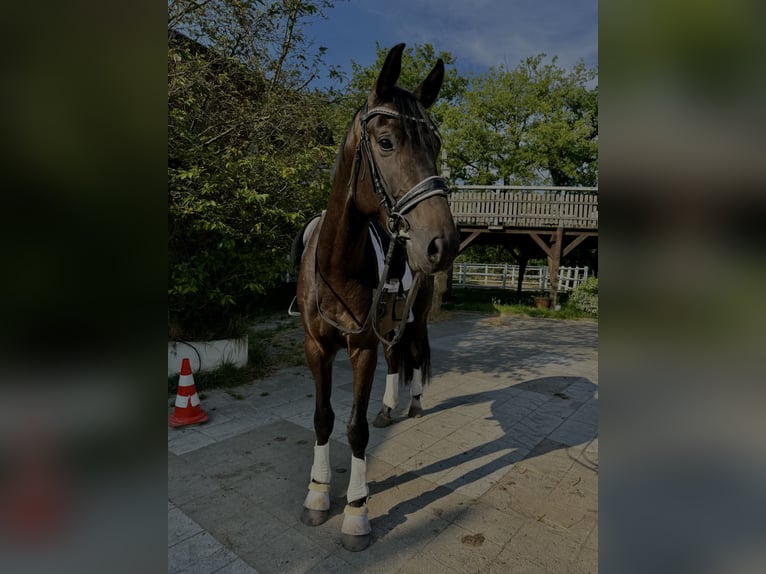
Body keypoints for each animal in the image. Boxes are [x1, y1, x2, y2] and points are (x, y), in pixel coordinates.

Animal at [296, 42, 460, 552]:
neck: (335, 262)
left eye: (435, 146)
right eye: (386, 143)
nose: (442, 243)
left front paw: (356, 512)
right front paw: (317, 494)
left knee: (417, 353)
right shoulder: (317, 347)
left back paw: (414, 403)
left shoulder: (361, 347)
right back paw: (390, 406)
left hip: (415, 317)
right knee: (396, 358)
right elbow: (323, 418)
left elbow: (355, 428)